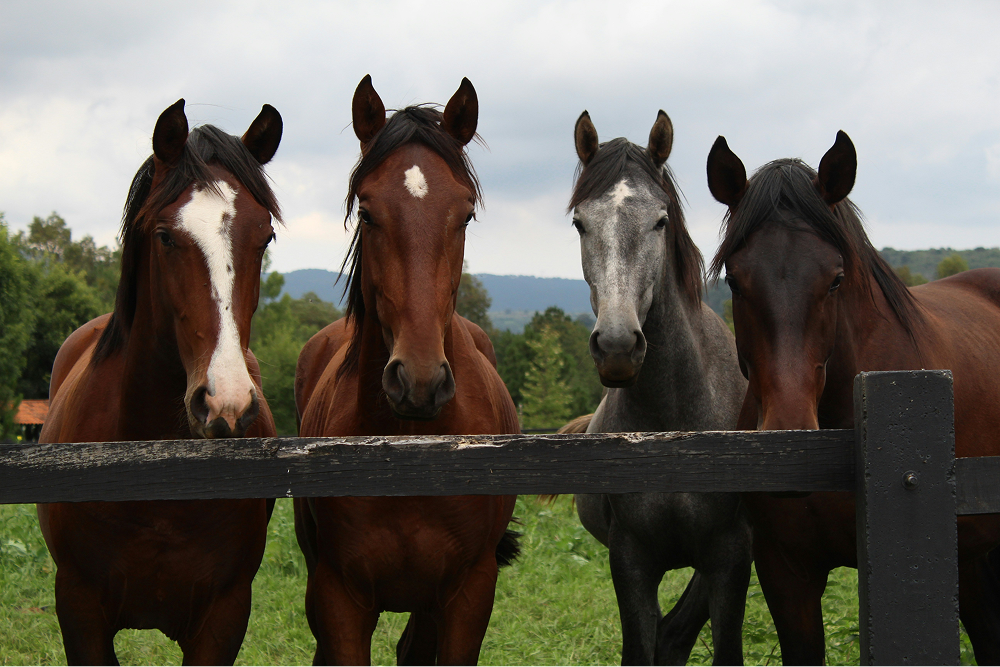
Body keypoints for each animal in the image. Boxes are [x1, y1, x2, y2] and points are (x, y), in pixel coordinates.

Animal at [37, 99, 283, 666]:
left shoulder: (225, 615)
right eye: (166, 236)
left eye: (265, 237)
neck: (156, 471)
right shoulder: (79, 609)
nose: (225, 403)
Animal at [293, 75, 520, 667]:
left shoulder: (468, 594)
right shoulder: (340, 597)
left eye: (465, 214)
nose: (419, 381)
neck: (408, 455)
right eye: (368, 212)